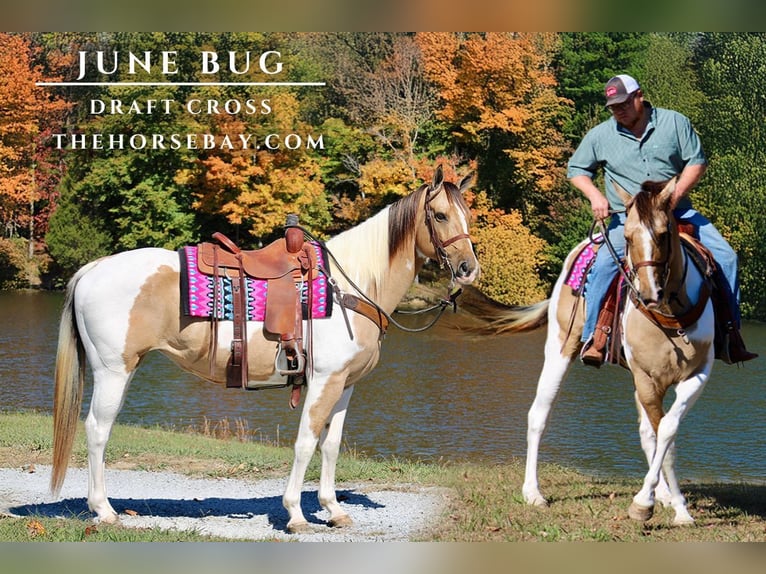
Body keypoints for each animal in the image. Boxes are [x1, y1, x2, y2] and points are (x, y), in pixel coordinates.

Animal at [49, 166, 480, 536]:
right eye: (440, 215)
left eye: (468, 215)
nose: (467, 269)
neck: (348, 287)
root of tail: (92, 269)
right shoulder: (323, 381)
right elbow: (306, 442)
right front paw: (296, 515)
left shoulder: (346, 385)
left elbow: (331, 445)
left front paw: (334, 511)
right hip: (113, 371)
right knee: (97, 430)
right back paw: (104, 510)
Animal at [488, 180, 716, 528]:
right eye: (628, 238)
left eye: (664, 234)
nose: (649, 294)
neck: (670, 315)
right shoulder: (646, 378)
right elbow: (664, 434)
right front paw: (648, 503)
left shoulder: (697, 374)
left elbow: (665, 431)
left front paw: (673, 505)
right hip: (560, 349)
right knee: (538, 415)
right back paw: (533, 493)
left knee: (648, 432)